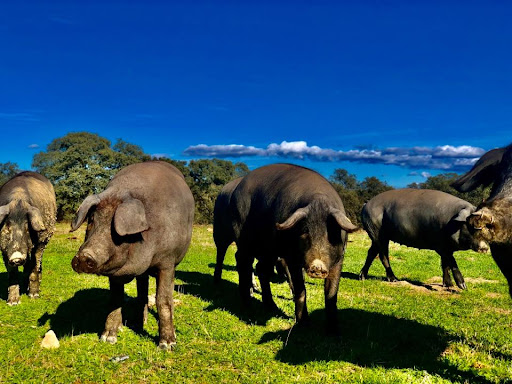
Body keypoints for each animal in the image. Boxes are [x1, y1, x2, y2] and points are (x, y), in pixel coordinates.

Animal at [0, 172, 56, 304]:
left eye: (27, 228)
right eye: (7, 227)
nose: (17, 258)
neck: (18, 199)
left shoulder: (41, 241)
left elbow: (35, 266)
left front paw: (34, 296)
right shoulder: (3, 248)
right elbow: (12, 274)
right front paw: (13, 303)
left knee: (37, 264)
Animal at [70, 160, 194, 350]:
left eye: (116, 228)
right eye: (91, 221)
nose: (84, 256)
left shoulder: (167, 261)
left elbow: (163, 300)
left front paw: (167, 345)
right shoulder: (114, 272)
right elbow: (115, 299)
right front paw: (108, 338)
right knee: (142, 292)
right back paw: (137, 323)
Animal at [230, 164, 358, 332]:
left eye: (331, 234)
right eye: (305, 232)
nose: (317, 266)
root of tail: (237, 188)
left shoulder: (339, 258)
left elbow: (331, 292)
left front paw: (333, 330)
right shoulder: (291, 257)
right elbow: (300, 289)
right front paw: (304, 324)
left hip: (269, 249)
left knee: (261, 269)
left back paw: (271, 307)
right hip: (242, 233)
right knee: (242, 260)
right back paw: (247, 304)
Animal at [358, 189, 490, 288]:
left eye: (487, 226)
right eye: (472, 226)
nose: (485, 248)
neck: (452, 223)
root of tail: (366, 204)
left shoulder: (446, 247)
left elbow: (445, 264)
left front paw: (448, 285)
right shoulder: (439, 246)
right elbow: (451, 262)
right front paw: (463, 286)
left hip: (377, 235)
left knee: (371, 252)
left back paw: (362, 277)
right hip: (377, 231)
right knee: (383, 255)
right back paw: (394, 279)